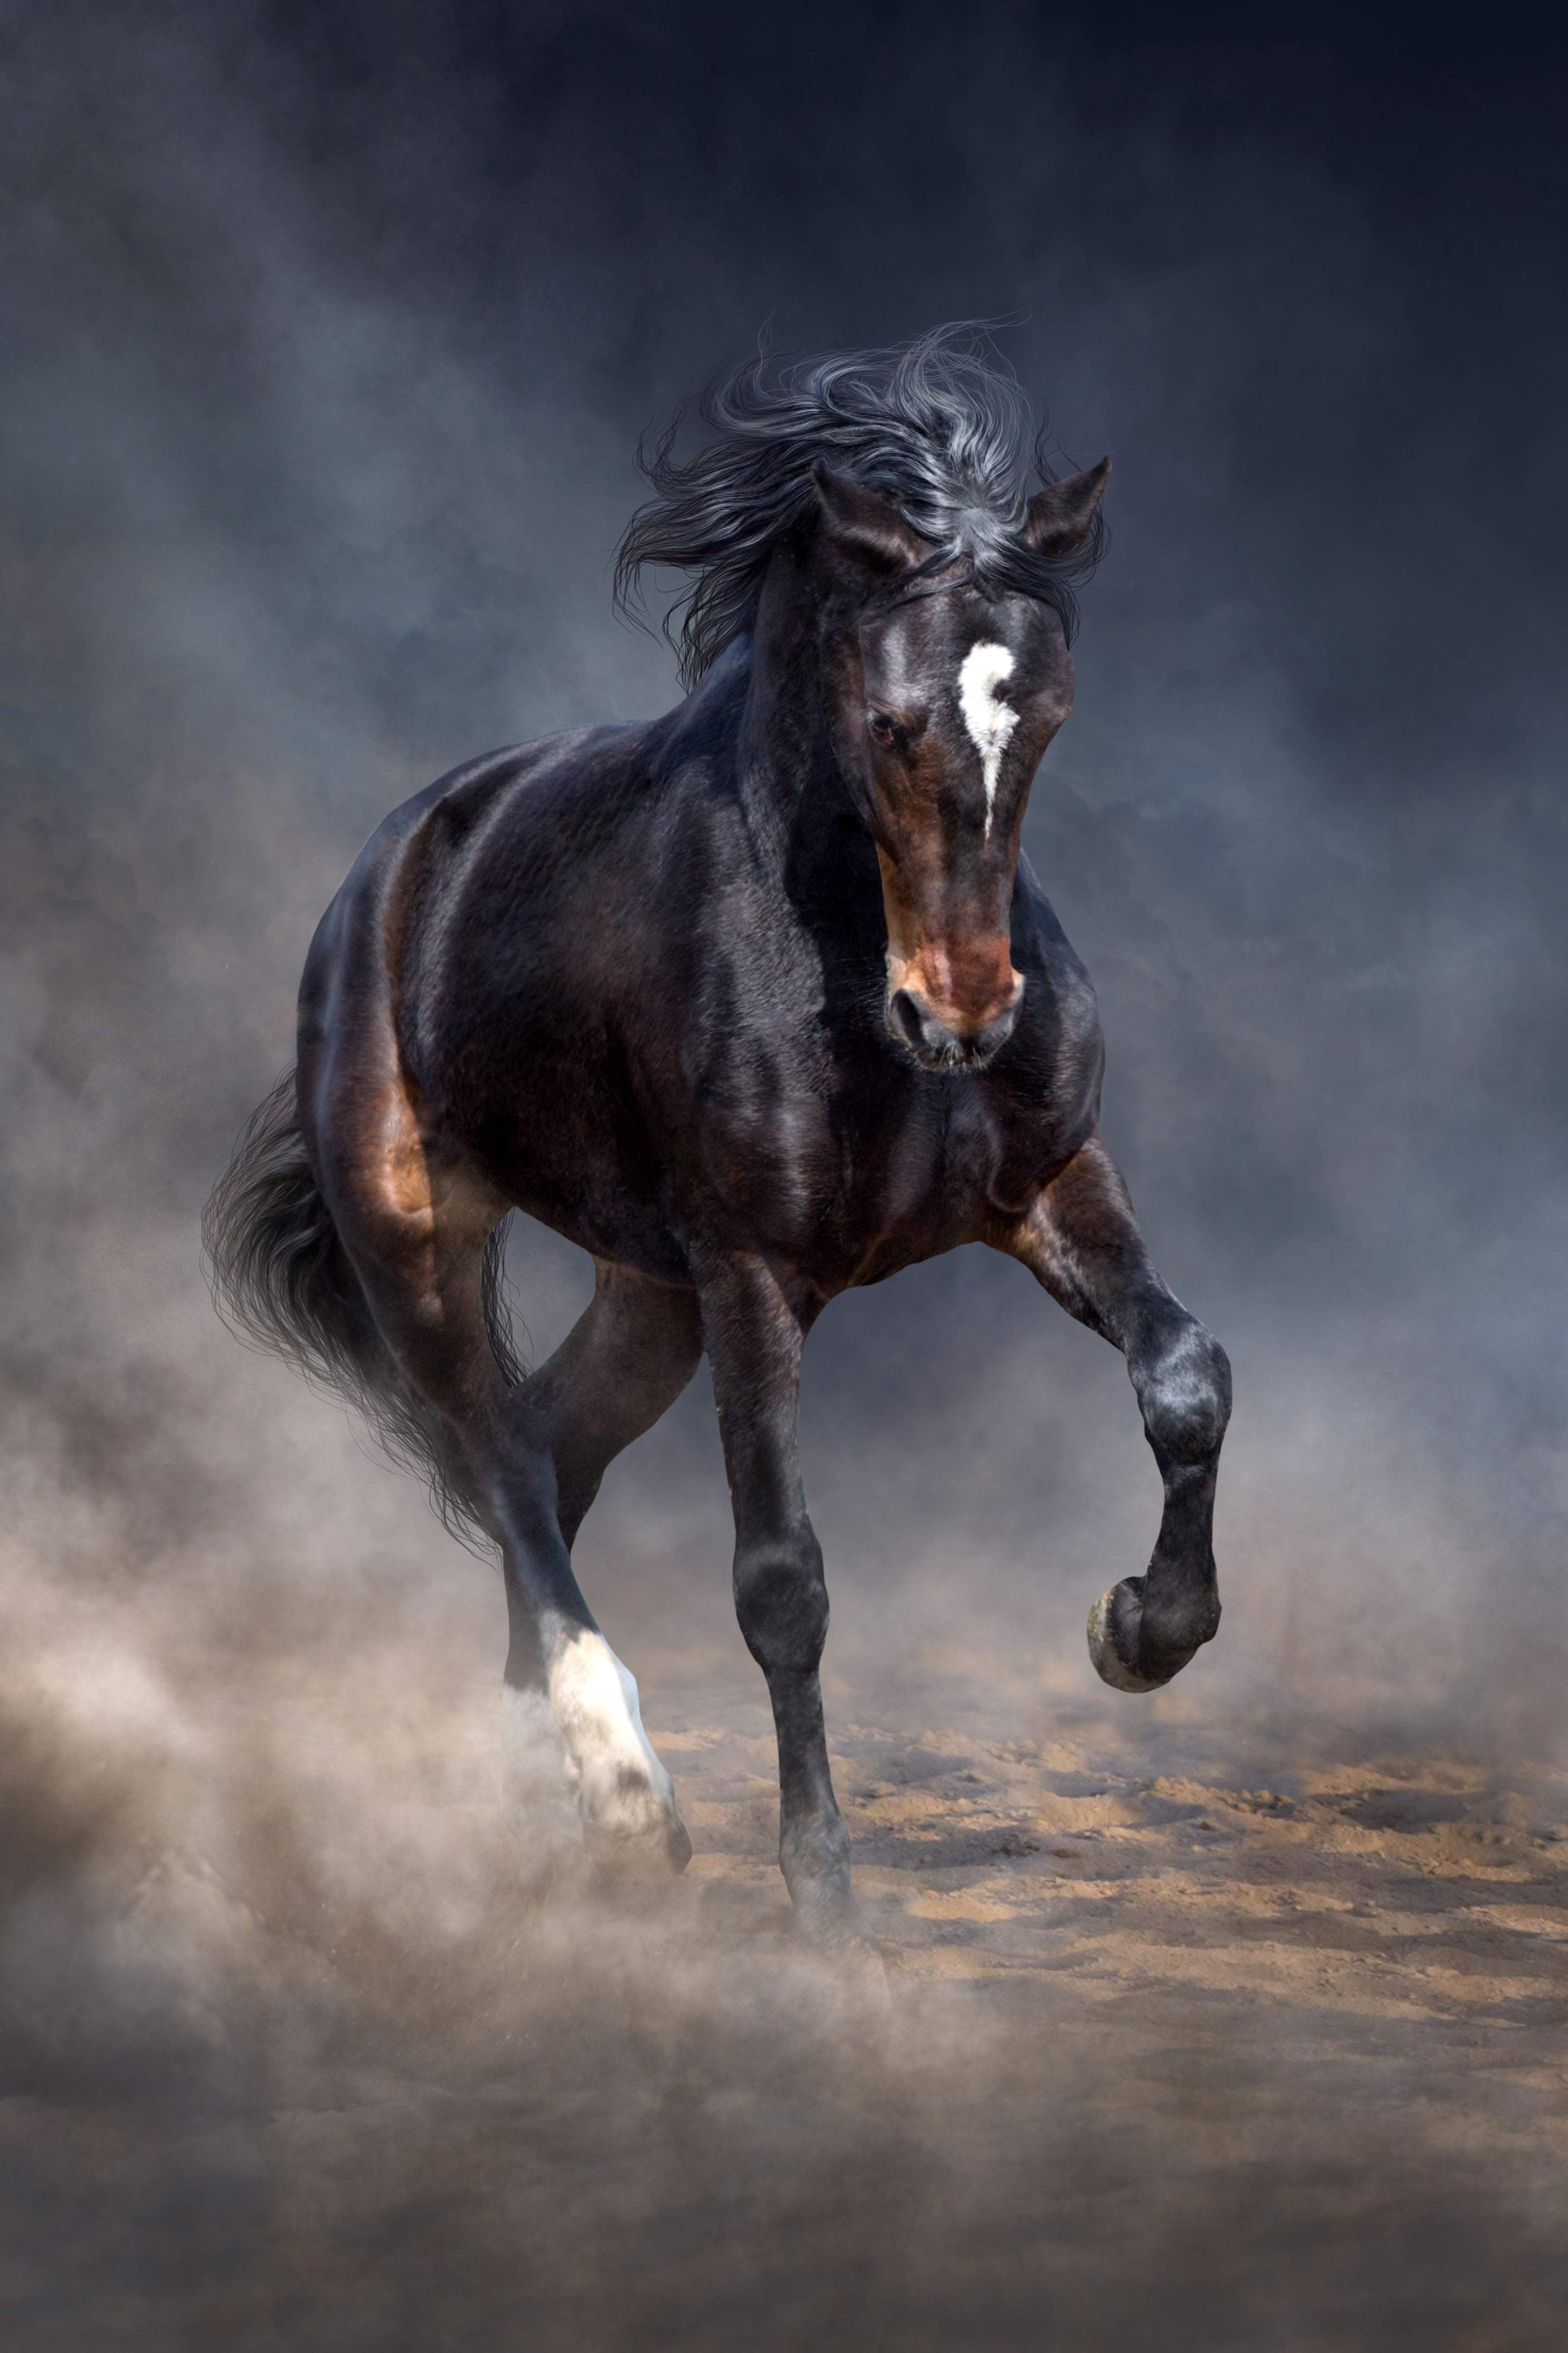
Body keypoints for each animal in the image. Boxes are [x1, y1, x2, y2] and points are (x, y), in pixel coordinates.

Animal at [205, 327, 1231, 1945]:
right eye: (889, 721)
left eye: (1051, 714)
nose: (962, 1011)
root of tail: (393, 863)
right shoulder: (751, 1270)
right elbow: (780, 1580)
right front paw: (822, 1906)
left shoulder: (1051, 1185)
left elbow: (1185, 1375)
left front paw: (1136, 1628)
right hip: (414, 1237)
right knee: (498, 1459)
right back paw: (622, 1789)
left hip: (649, 1297)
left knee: (545, 1452)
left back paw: (541, 1787)